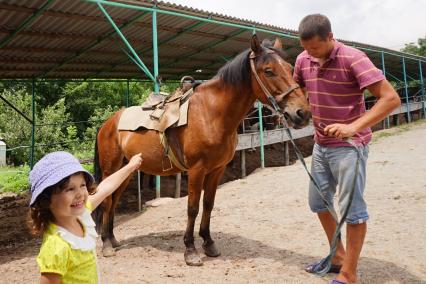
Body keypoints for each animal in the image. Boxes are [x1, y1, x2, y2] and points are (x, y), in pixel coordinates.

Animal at [94, 34, 310, 266]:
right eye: (268, 71)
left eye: (290, 68)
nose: (302, 113)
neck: (211, 113)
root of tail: (108, 123)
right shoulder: (196, 170)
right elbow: (192, 207)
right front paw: (190, 250)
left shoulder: (216, 170)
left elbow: (208, 204)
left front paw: (208, 242)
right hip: (111, 168)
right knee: (107, 201)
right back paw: (106, 244)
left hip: (126, 170)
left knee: (114, 199)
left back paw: (113, 239)